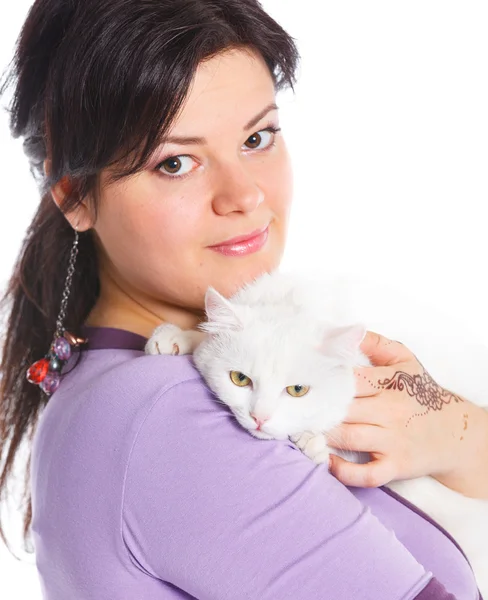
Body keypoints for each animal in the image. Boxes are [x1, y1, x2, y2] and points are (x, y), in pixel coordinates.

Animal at [145, 272, 488, 596]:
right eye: (240, 379)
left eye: (297, 390)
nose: (259, 418)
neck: (297, 305)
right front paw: (176, 337)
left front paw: (313, 443)